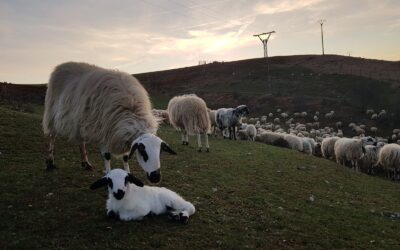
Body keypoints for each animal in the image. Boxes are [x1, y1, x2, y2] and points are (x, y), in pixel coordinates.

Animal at [42, 61, 177, 181]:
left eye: (160, 152)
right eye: (143, 152)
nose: (156, 177)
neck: (130, 110)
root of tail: (61, 65)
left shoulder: (120, 134)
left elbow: (126, 157)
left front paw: (128, 174)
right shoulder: (103, 131)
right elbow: (107, 156)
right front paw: (108, 174)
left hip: (79, 121)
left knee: (81, 141)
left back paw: (86, 163)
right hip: (52, 114)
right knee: (51, 136)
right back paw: (50, 162)